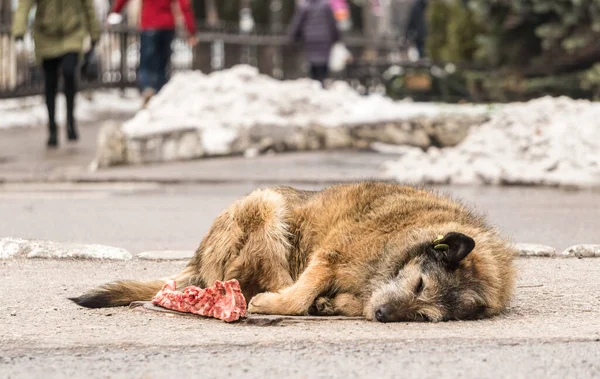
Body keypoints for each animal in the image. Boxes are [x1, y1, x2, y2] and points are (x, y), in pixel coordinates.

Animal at [71, 183, 516, 322]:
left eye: (424, 315)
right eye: (420, 282)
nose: (382, 315)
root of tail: (197, 259)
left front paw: (336, 305)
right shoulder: (330, 255)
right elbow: (303, 290)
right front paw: (289, 303)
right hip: (265, 205)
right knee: (267, 276)